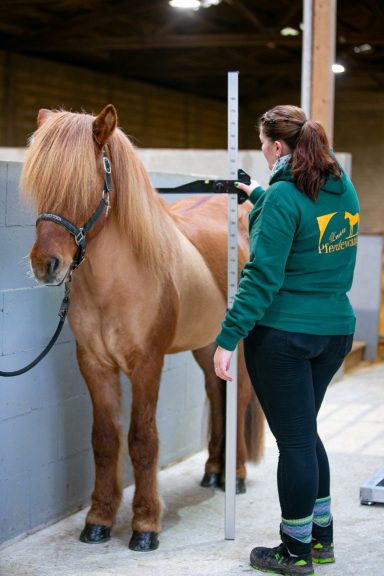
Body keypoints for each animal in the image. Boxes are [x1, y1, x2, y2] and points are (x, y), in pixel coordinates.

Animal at [21, 104, 264, 552]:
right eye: (41, 182)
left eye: (86, 182)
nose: (46, 266)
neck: (116, 281)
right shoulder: (94, 364)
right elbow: (104, 439)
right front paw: (98, 519)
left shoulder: (147, 364)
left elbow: (142, 440)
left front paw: (146, 524)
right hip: (207, 346)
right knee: (215, 395)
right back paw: (213, 471)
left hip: (234, 348)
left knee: (236, 400)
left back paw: (235, 476)